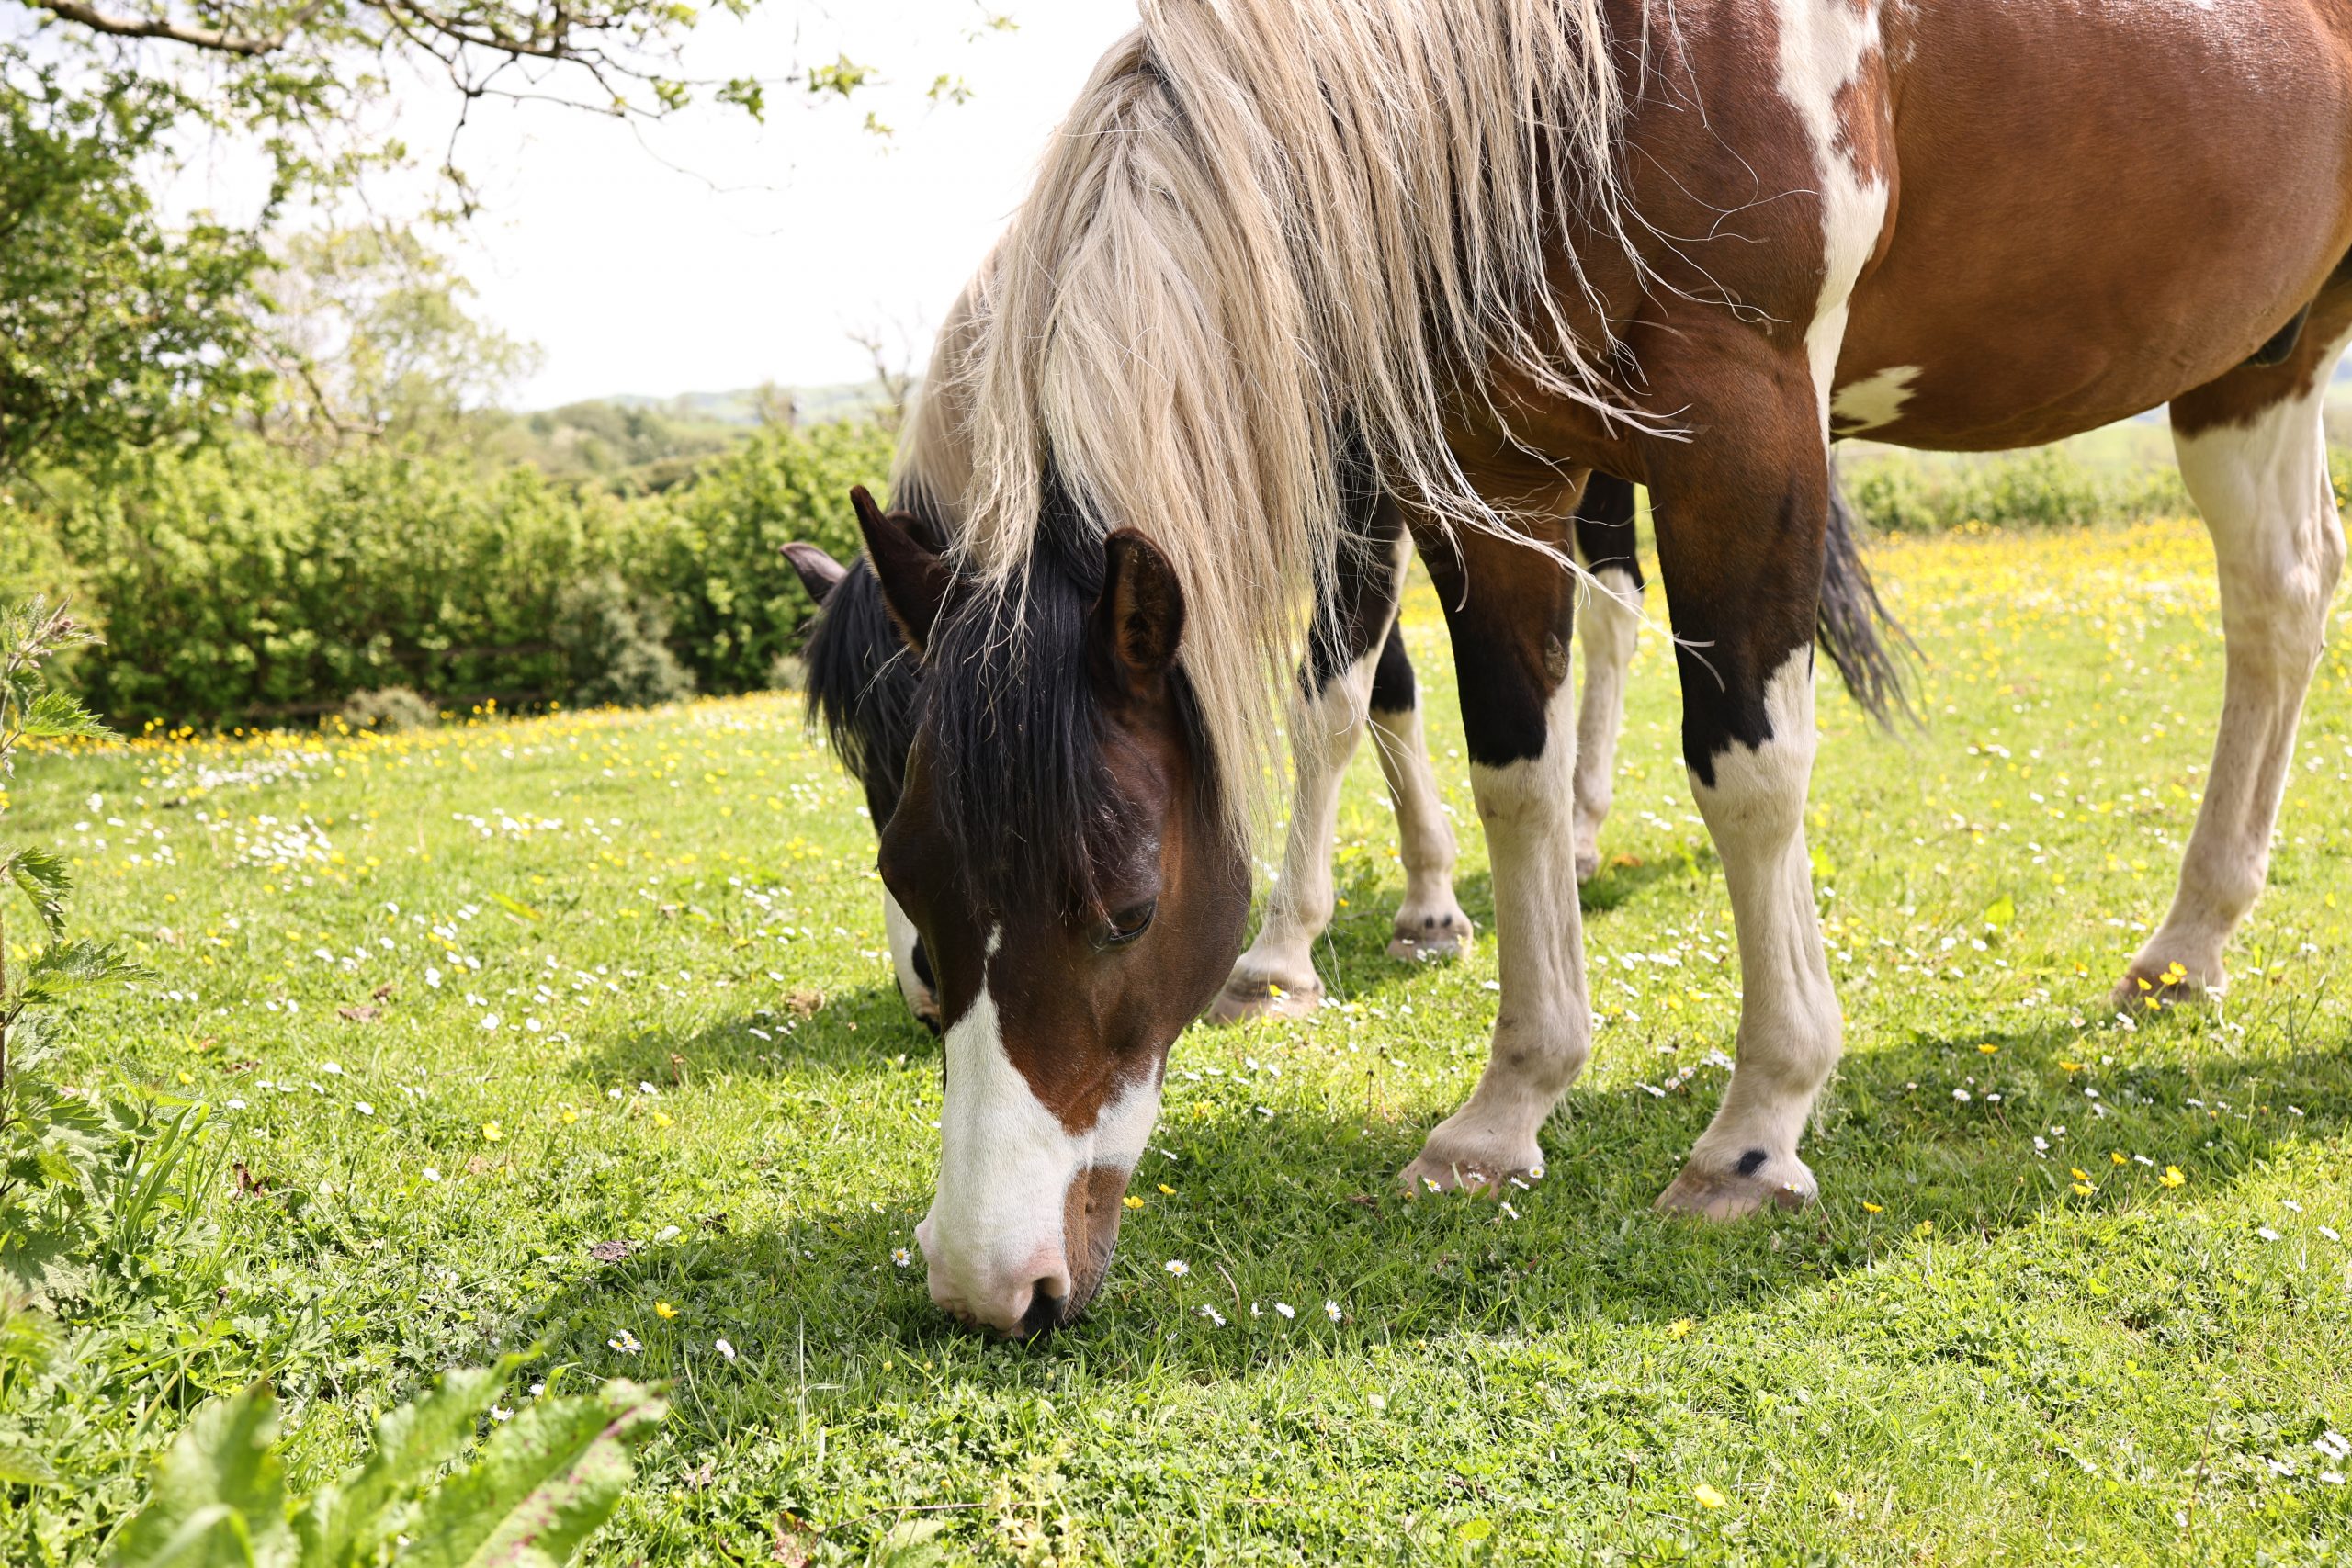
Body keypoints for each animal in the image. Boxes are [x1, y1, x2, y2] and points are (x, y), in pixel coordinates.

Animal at [790, 469, 1656, 1029]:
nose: (928, 990)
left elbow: (1329, 704)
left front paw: (1279, 958)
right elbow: (1389, 691)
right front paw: (1431, 907)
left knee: (1613, 604)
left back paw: (1582, 825)